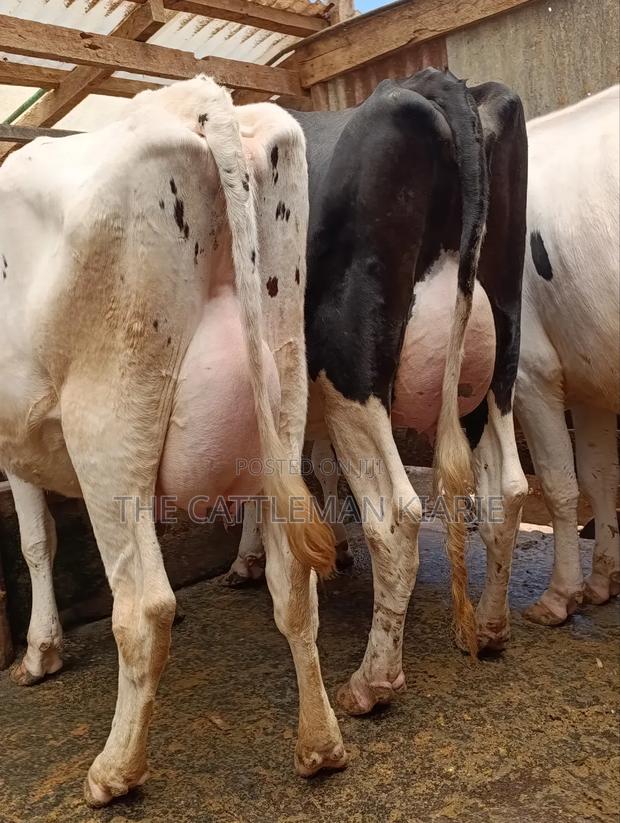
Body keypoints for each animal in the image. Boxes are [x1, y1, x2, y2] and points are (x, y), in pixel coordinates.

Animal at [0, 76, 343, 807]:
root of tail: (194, 98)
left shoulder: (14, 437)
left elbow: (36, 542)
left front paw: (40, 651)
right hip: (283, 389)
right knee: (294, 584)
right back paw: (320, 744)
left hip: (107, 412)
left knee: (143, 606)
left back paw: (113, 770)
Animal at [227, 68, 530, 715]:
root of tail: (436, 83)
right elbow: (316, 465)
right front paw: (331, 550)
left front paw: (250, 558)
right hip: (495, 357)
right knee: (507, 491)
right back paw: (491, 628)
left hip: (350, 365)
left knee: (397, 517)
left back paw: (373, 682)